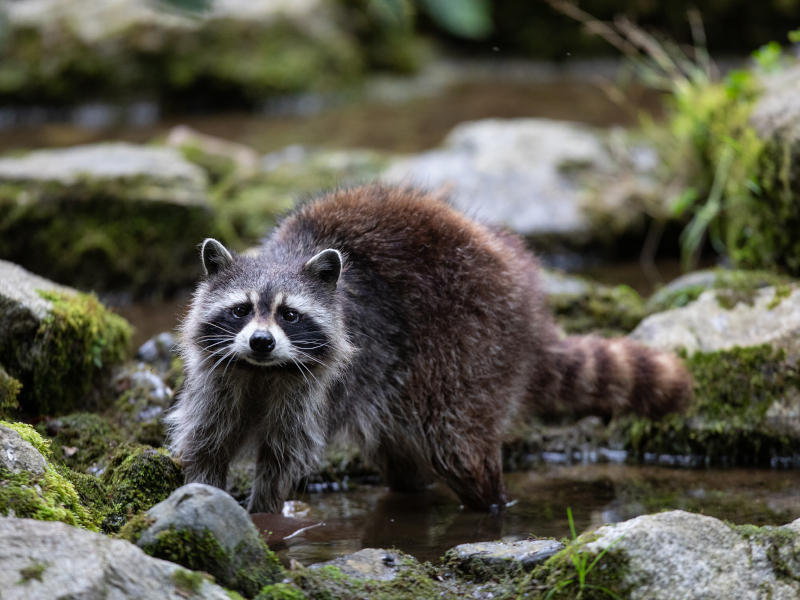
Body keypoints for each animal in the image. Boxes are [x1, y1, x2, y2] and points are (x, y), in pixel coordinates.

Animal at [170, 185, 692, 512]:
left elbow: (281, 462)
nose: (261, 342)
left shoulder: (306, 396)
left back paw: (493, 504)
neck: (260, 372)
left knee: (461, 449)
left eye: (289, 315)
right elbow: (206, 449)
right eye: (241, 310)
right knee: (400, 457)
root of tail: (529, 314)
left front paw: (264, 517)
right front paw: (202, 500)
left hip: (470, 348)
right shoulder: (217, 380)